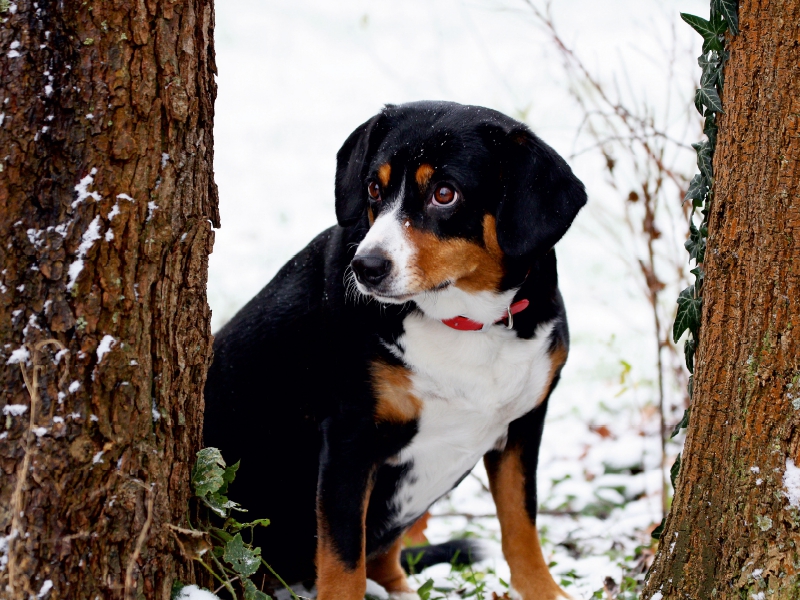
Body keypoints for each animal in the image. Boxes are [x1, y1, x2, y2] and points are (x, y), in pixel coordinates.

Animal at [203, 101, 584, 596]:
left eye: (445, 193)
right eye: (373, 188)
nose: (366, 267)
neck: (466, 323)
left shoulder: (523, 426)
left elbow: (521, 524)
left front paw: (544, 591)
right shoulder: (350, 437)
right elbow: (342, 558)